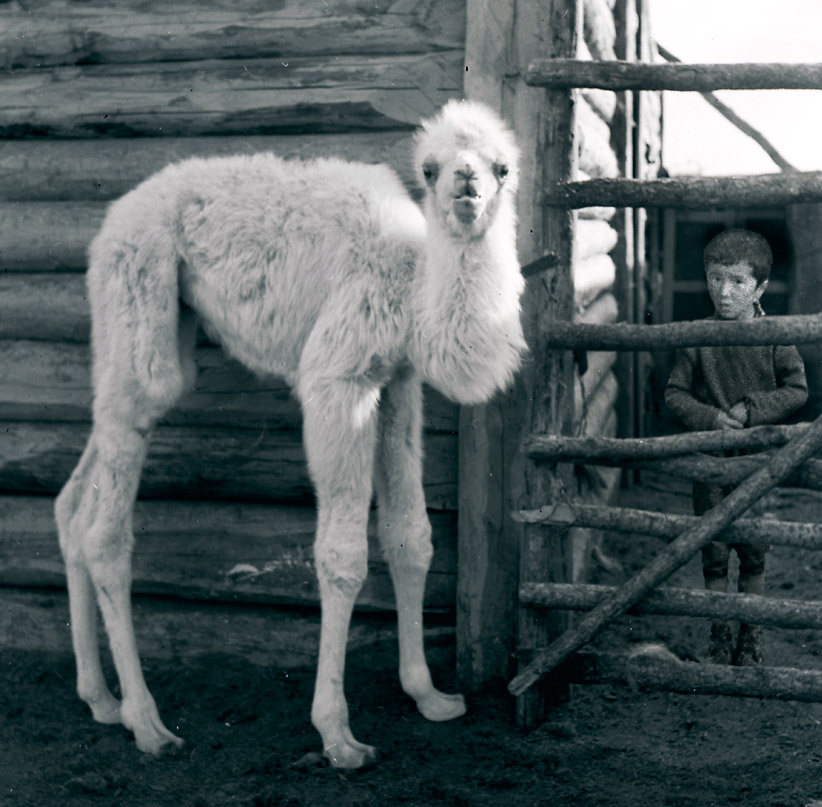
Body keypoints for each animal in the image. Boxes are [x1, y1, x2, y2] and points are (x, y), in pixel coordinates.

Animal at [55, 99, 526, 769]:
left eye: (501, 167)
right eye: (430, 168)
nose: (466, 183)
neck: (411, 276)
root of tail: (112, 221)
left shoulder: (398, 379)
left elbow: (412, 536)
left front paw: (429, 695)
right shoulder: (338, 376)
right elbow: (342, 556)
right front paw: (337, 735)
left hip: (144, 340)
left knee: (76, 498)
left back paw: (100, 699)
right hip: (138, 294)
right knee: (105, 532)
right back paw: (148, 724)